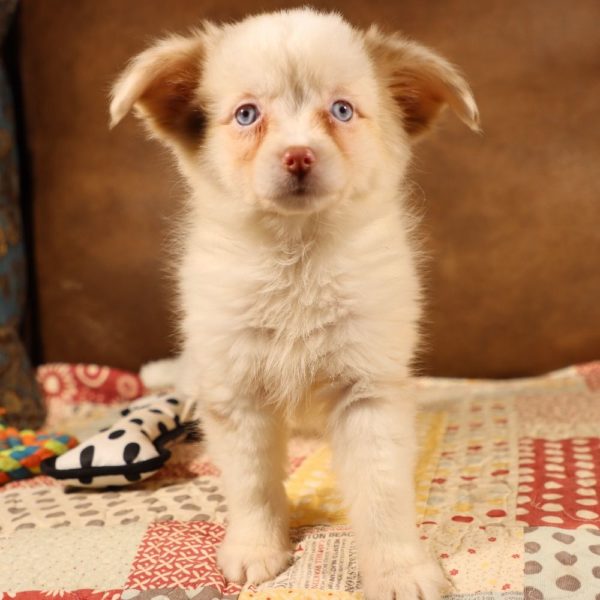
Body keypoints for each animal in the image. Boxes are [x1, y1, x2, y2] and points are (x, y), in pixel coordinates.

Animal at [110, 9, 480, 600]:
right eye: (247, 114)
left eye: (342, 110)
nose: (298, 156)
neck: (296, 258)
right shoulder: (234, 390)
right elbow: (253, 483)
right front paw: (256, 547)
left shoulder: (368, 390)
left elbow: (381, 493)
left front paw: (399, 569)